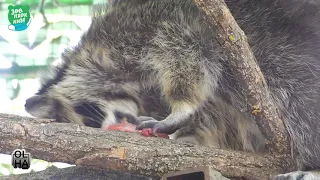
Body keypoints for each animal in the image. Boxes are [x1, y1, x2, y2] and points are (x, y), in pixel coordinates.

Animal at [25, 0, 320, 179]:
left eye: (89, 116)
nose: (114, 129)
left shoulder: (153, 20)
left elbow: (187, 48)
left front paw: (181, 107)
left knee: (300, 99)